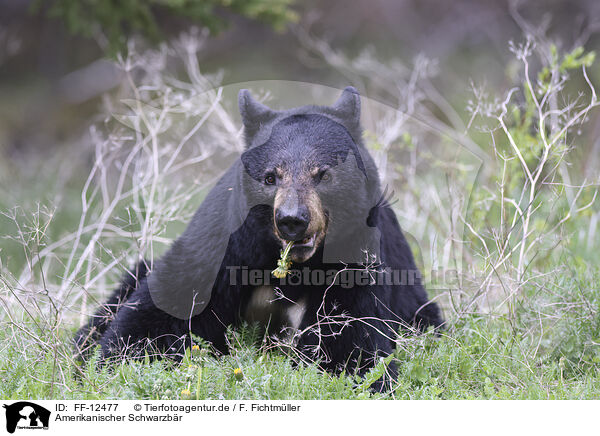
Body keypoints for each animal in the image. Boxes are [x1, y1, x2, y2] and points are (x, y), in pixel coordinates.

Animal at [75, 87, 442, 390]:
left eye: (323, 174)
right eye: (270, 177)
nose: (292, 220)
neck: (293, 267)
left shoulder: (356, 255)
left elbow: (351, 338)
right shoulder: (226, 242)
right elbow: (165, 307)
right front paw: (115, 363)